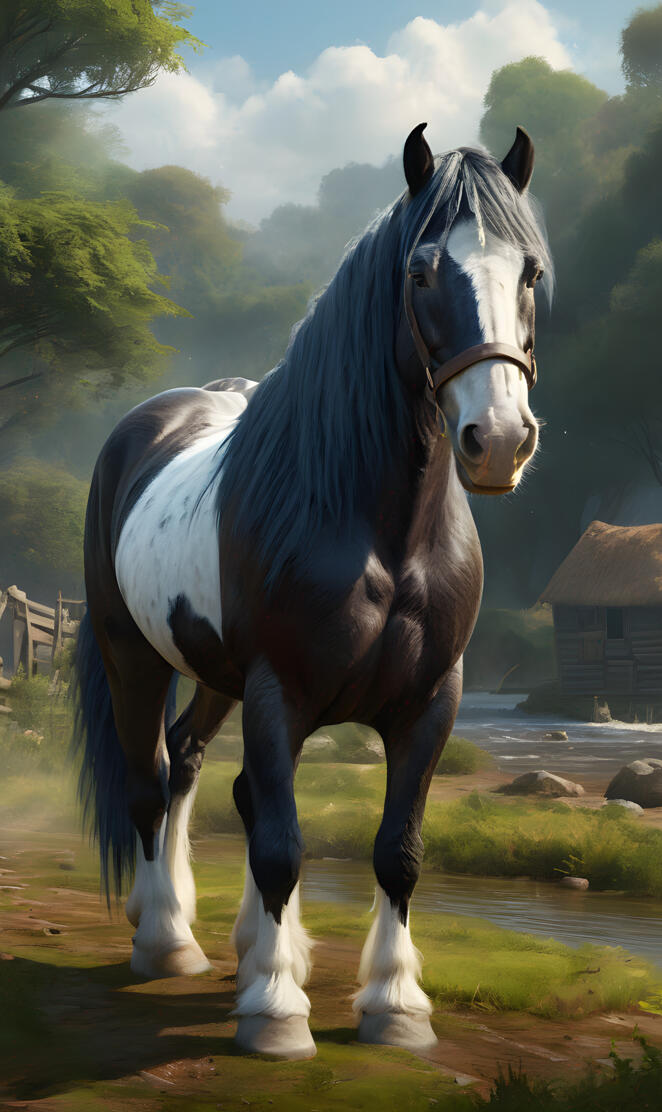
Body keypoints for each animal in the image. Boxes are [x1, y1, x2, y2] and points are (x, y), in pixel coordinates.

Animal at [73, 122, 552, 1060]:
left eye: (529, 271)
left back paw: (245, 944)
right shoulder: (278, 692)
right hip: (135, 657)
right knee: (152, 783)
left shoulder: (430, 702)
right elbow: (282, 848)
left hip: (215, 679)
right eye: (421, 272)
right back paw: (166, 940)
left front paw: (394, 1005)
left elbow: (396, 851)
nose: (498, 441)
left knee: (193, 769)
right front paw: (276, 1014)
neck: (376, 528)